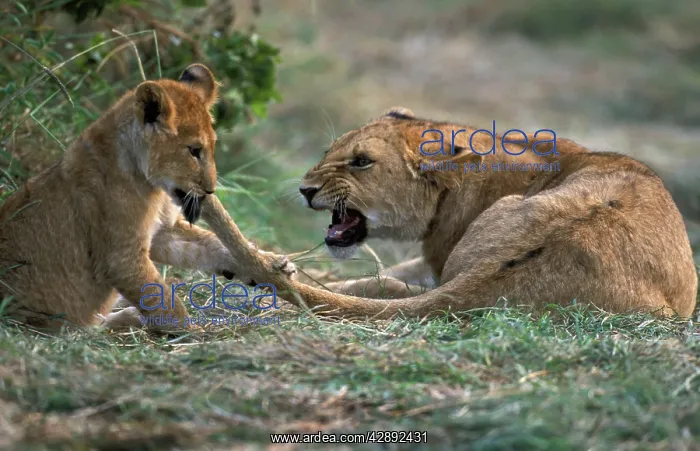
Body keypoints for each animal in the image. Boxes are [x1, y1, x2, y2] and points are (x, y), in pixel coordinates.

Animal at [0, 64, 292, 330]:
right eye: (194, 151)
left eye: (212, 147)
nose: (211, 190)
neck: (155, 188)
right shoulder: (121, 257)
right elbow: (163, 299)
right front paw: (194, 335)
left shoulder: (162, 233)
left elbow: (208, 244)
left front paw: (269, 263)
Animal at [201, 107, 698, 320]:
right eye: (329, 152)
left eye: (361, 162)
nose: (305, 189)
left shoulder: (436, 258)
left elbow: (384, 278)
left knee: (389, 287)